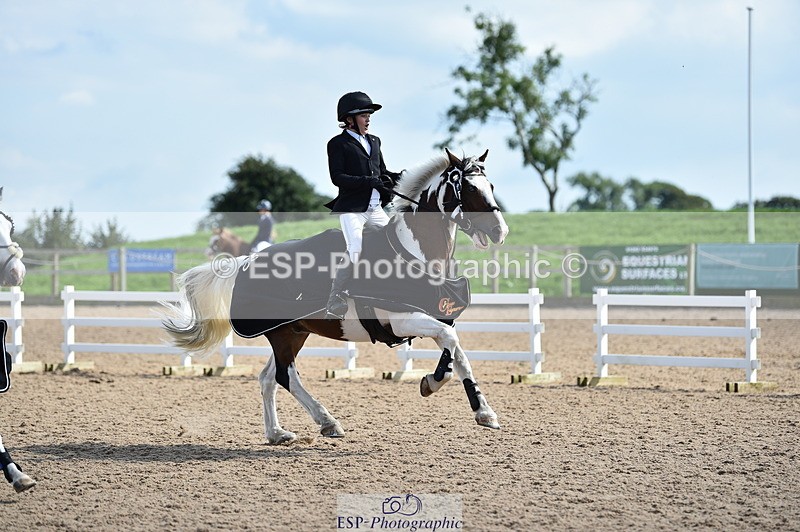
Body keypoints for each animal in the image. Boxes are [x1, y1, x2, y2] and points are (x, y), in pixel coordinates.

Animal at [162, 149, 508, 444]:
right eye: (469, 188)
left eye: (490, 185)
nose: (499, 231)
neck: (415, 253)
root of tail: (246, 261)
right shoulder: (403, 319)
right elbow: (450, 344)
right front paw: (432, 383)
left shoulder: (437, 317)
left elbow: (457, 354)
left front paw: (483, 411)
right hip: (282, 335)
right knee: (286, 377)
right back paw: (327, 422)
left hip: (292, 332)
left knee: (267, 378)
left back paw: (277, 433)